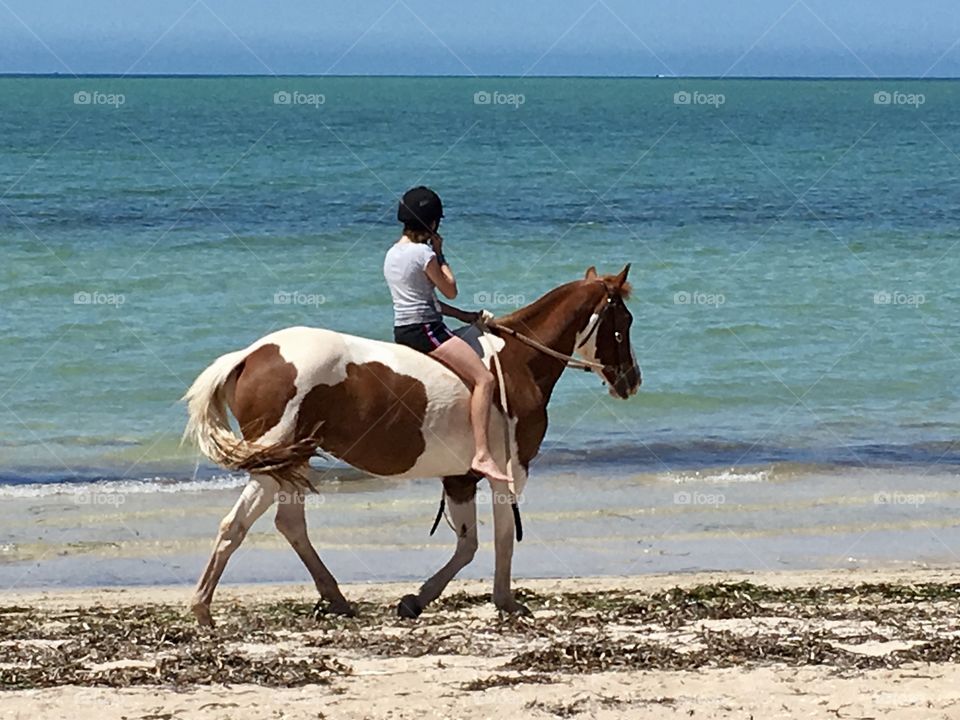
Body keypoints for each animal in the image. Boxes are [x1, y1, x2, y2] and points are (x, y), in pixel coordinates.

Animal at [184, 264, 640, 624]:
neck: (517, 362)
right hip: (274, 463)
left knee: (287, 524)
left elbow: (468, 544)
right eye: (625, 321)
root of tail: (251, 354)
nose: (631, 380)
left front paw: (416, 600)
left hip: (289, 464)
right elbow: (503, 536)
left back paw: (334, 598)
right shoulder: (508, 472)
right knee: (237, 526)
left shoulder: (459, 478)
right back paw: (203, 607)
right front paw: (505, 602)